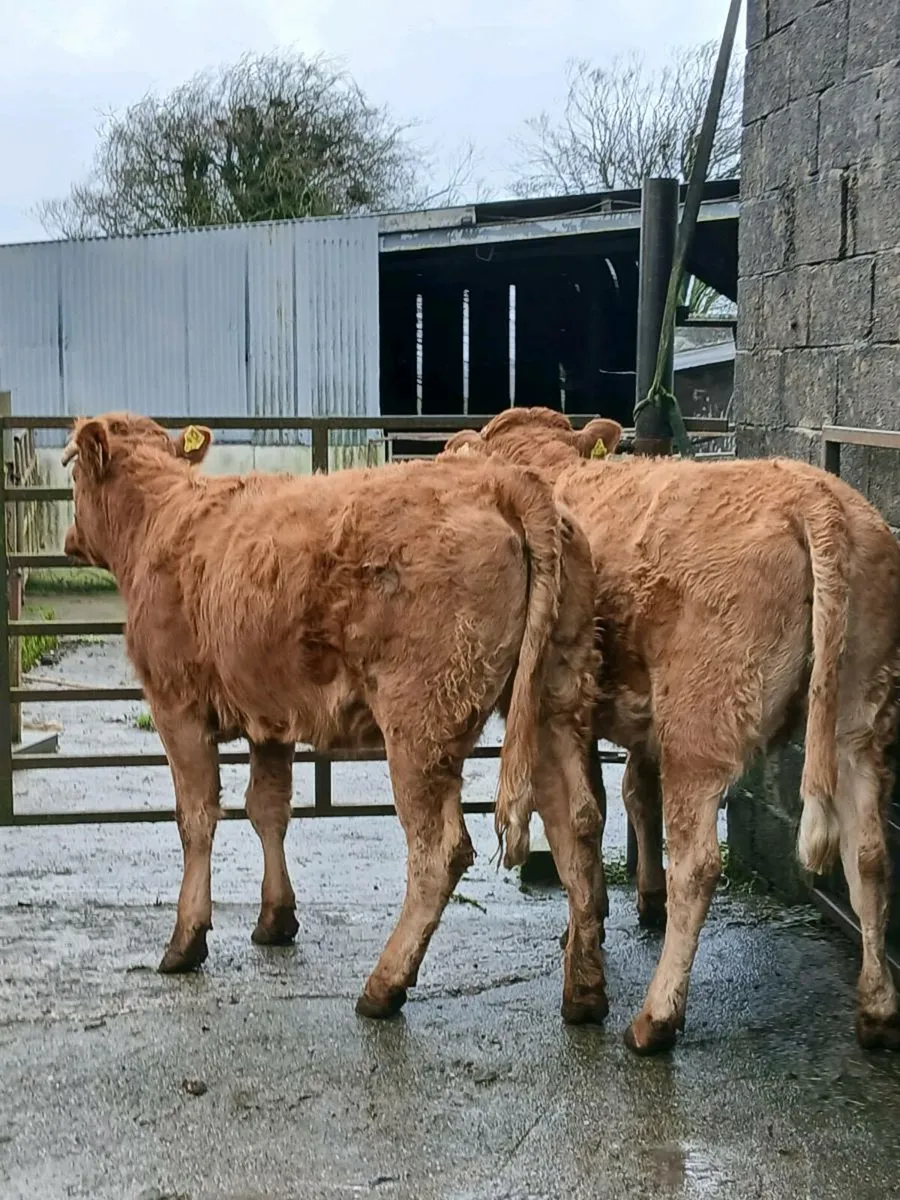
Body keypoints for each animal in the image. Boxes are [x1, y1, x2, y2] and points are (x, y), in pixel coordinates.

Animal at [60, 412, 608, 1025]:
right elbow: (268, 809)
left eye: (72, 471)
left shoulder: (175, 705)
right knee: (576, 822)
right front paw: (276, 918)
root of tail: (501, 481)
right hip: (554, 699)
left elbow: (197, 818)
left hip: (420, 725)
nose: (70, 539)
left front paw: (186, 940)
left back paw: (384, 985)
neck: (165, 518)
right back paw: (584, 989)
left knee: (439, 852)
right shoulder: (268, 714)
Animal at [441, 406, 900, 1055]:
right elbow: (631, 793)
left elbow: (583, 819)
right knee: (869, 856)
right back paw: (878, 1013)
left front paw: (584, 937)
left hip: (700, 720)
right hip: (860, 715)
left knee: (699, 863)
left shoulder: (563, 708)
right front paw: (632, 904)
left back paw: (655, 1019)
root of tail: (817, 497)